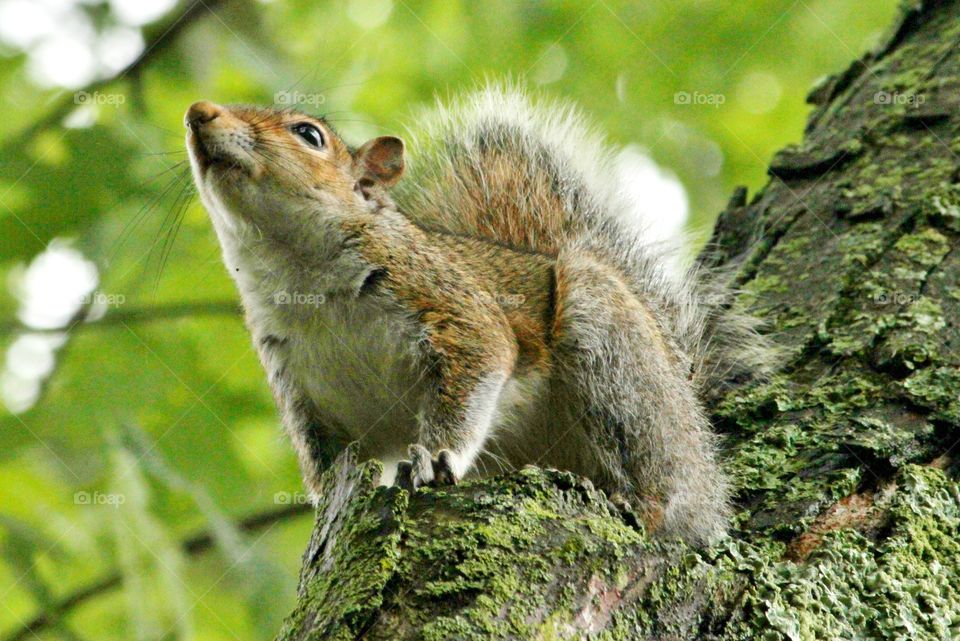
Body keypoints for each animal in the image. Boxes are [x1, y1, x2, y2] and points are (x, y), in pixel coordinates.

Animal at [184, 85, 772, 546]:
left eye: (308, 134)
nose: (199, 111)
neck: (300, 276)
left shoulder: (452, 305)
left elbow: (477, 371)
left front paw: (436, 457)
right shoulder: (302, 398)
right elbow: (327, 471)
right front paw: (329, 507)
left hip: (618, 352)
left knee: (663, 485)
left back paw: (647, 506)